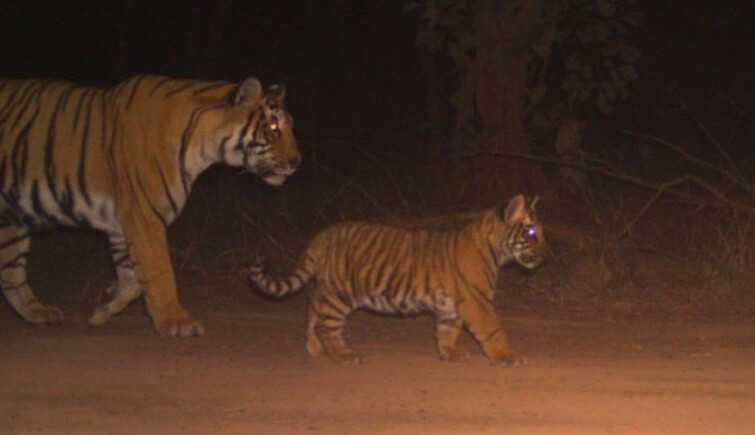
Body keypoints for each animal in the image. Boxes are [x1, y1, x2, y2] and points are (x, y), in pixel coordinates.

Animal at [0, 76, 302, 338]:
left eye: (290, 127)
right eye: (273, 129)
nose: (297, 161)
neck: (204, 143)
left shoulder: (121, 224)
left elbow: (133, 279)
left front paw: (102, 308)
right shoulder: (143, 214)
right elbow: (159, 271)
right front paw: (175, 321)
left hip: (12, 221)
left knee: (11, 272)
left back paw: (38, 313)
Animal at [250, 196, 548, 366]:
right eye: (532, 232)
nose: (548, 256)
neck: (496, 249)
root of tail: (321, 236)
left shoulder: (450, 305)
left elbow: (448, 329)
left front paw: (449, 353)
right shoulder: (477, 301)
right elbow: (493, 330)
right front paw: (507, 356)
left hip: (326, 288)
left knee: (312, 309)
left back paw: (313, 348)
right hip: (340, 293)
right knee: (327, 325)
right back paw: (344, 355)